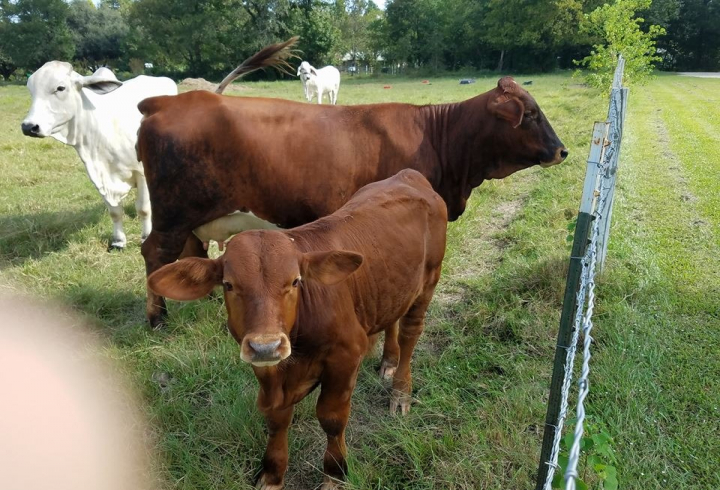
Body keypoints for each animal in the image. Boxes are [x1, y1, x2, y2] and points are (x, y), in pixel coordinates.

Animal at [20, 62, 177, 250]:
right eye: (31, 90)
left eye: (60, 88)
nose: (29, 127)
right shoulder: (99, 173)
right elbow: (115, 211)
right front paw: (118, 241)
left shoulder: (141, 172)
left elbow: (143, 209)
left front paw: (146, 237)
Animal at [136, 38, 568, 329]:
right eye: (530, 114)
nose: (562, 150)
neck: (440, 139)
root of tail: (165, 102)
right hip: (172, 215)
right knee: (154, 253)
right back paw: (157, 317)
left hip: (192, 217)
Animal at [147, 169, 448, 489]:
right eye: (228, 285)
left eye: (295, 281)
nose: (265, 345)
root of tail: (408, 175)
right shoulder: (268, 371)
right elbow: (276, 418)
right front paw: (272, 473)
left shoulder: (345, 356)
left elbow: (331, 418)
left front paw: (335, 474)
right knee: (392, 320)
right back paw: (388, 361)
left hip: (428, 281)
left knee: (410, 334)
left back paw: (400, 393)